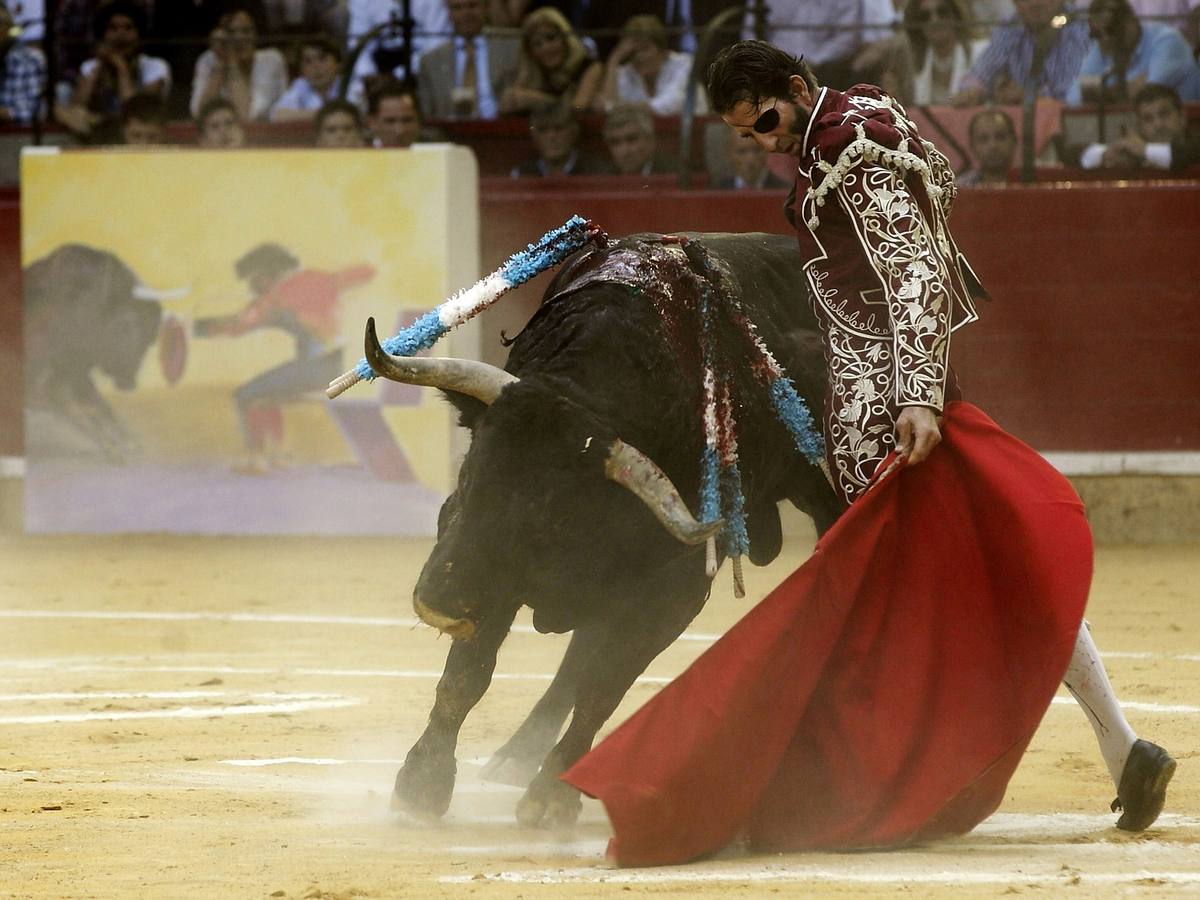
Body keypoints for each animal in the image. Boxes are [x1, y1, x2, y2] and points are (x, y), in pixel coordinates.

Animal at [24, 243, 165, 460]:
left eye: (147, 342)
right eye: (127, 331)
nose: (129, 384)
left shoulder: (75, 374)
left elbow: (100, 408)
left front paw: (127, 443)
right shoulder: (55, 376)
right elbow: (81, 410)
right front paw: (114, 449)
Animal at [367, 232, 844, 830]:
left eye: (550, 507)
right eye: (471, 467)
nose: (438, 601)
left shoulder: (671, 590)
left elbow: (605, 683)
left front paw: (550, 797)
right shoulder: (489, 566)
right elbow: (468, 675)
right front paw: (421, 784)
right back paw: (514, 756)